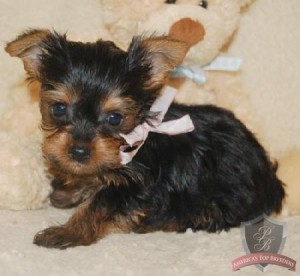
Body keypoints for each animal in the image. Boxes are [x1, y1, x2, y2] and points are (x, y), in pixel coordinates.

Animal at [5, 29, 284, 249]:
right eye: (59, 109)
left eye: (115, 118)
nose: (79, 151)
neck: (134, 139)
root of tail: (270, 178)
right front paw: (69, 190)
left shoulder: (136, 184)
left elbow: (99, 205)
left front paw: (66, 232)